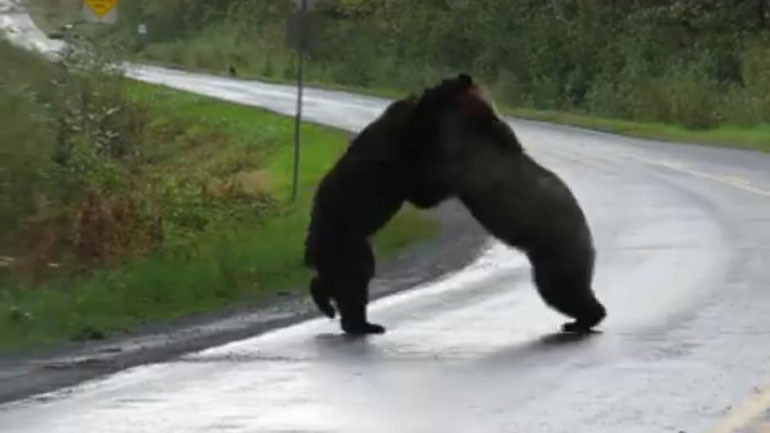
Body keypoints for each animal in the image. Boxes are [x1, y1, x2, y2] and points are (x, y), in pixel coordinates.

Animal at [404, 74, 607, 333]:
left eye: (440, 84)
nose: (424, 90)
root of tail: (588, 235)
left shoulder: (464, 166)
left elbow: (430, 188)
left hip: (559, 252)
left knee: (562, 289)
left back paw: (583, 320)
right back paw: (579, 321)